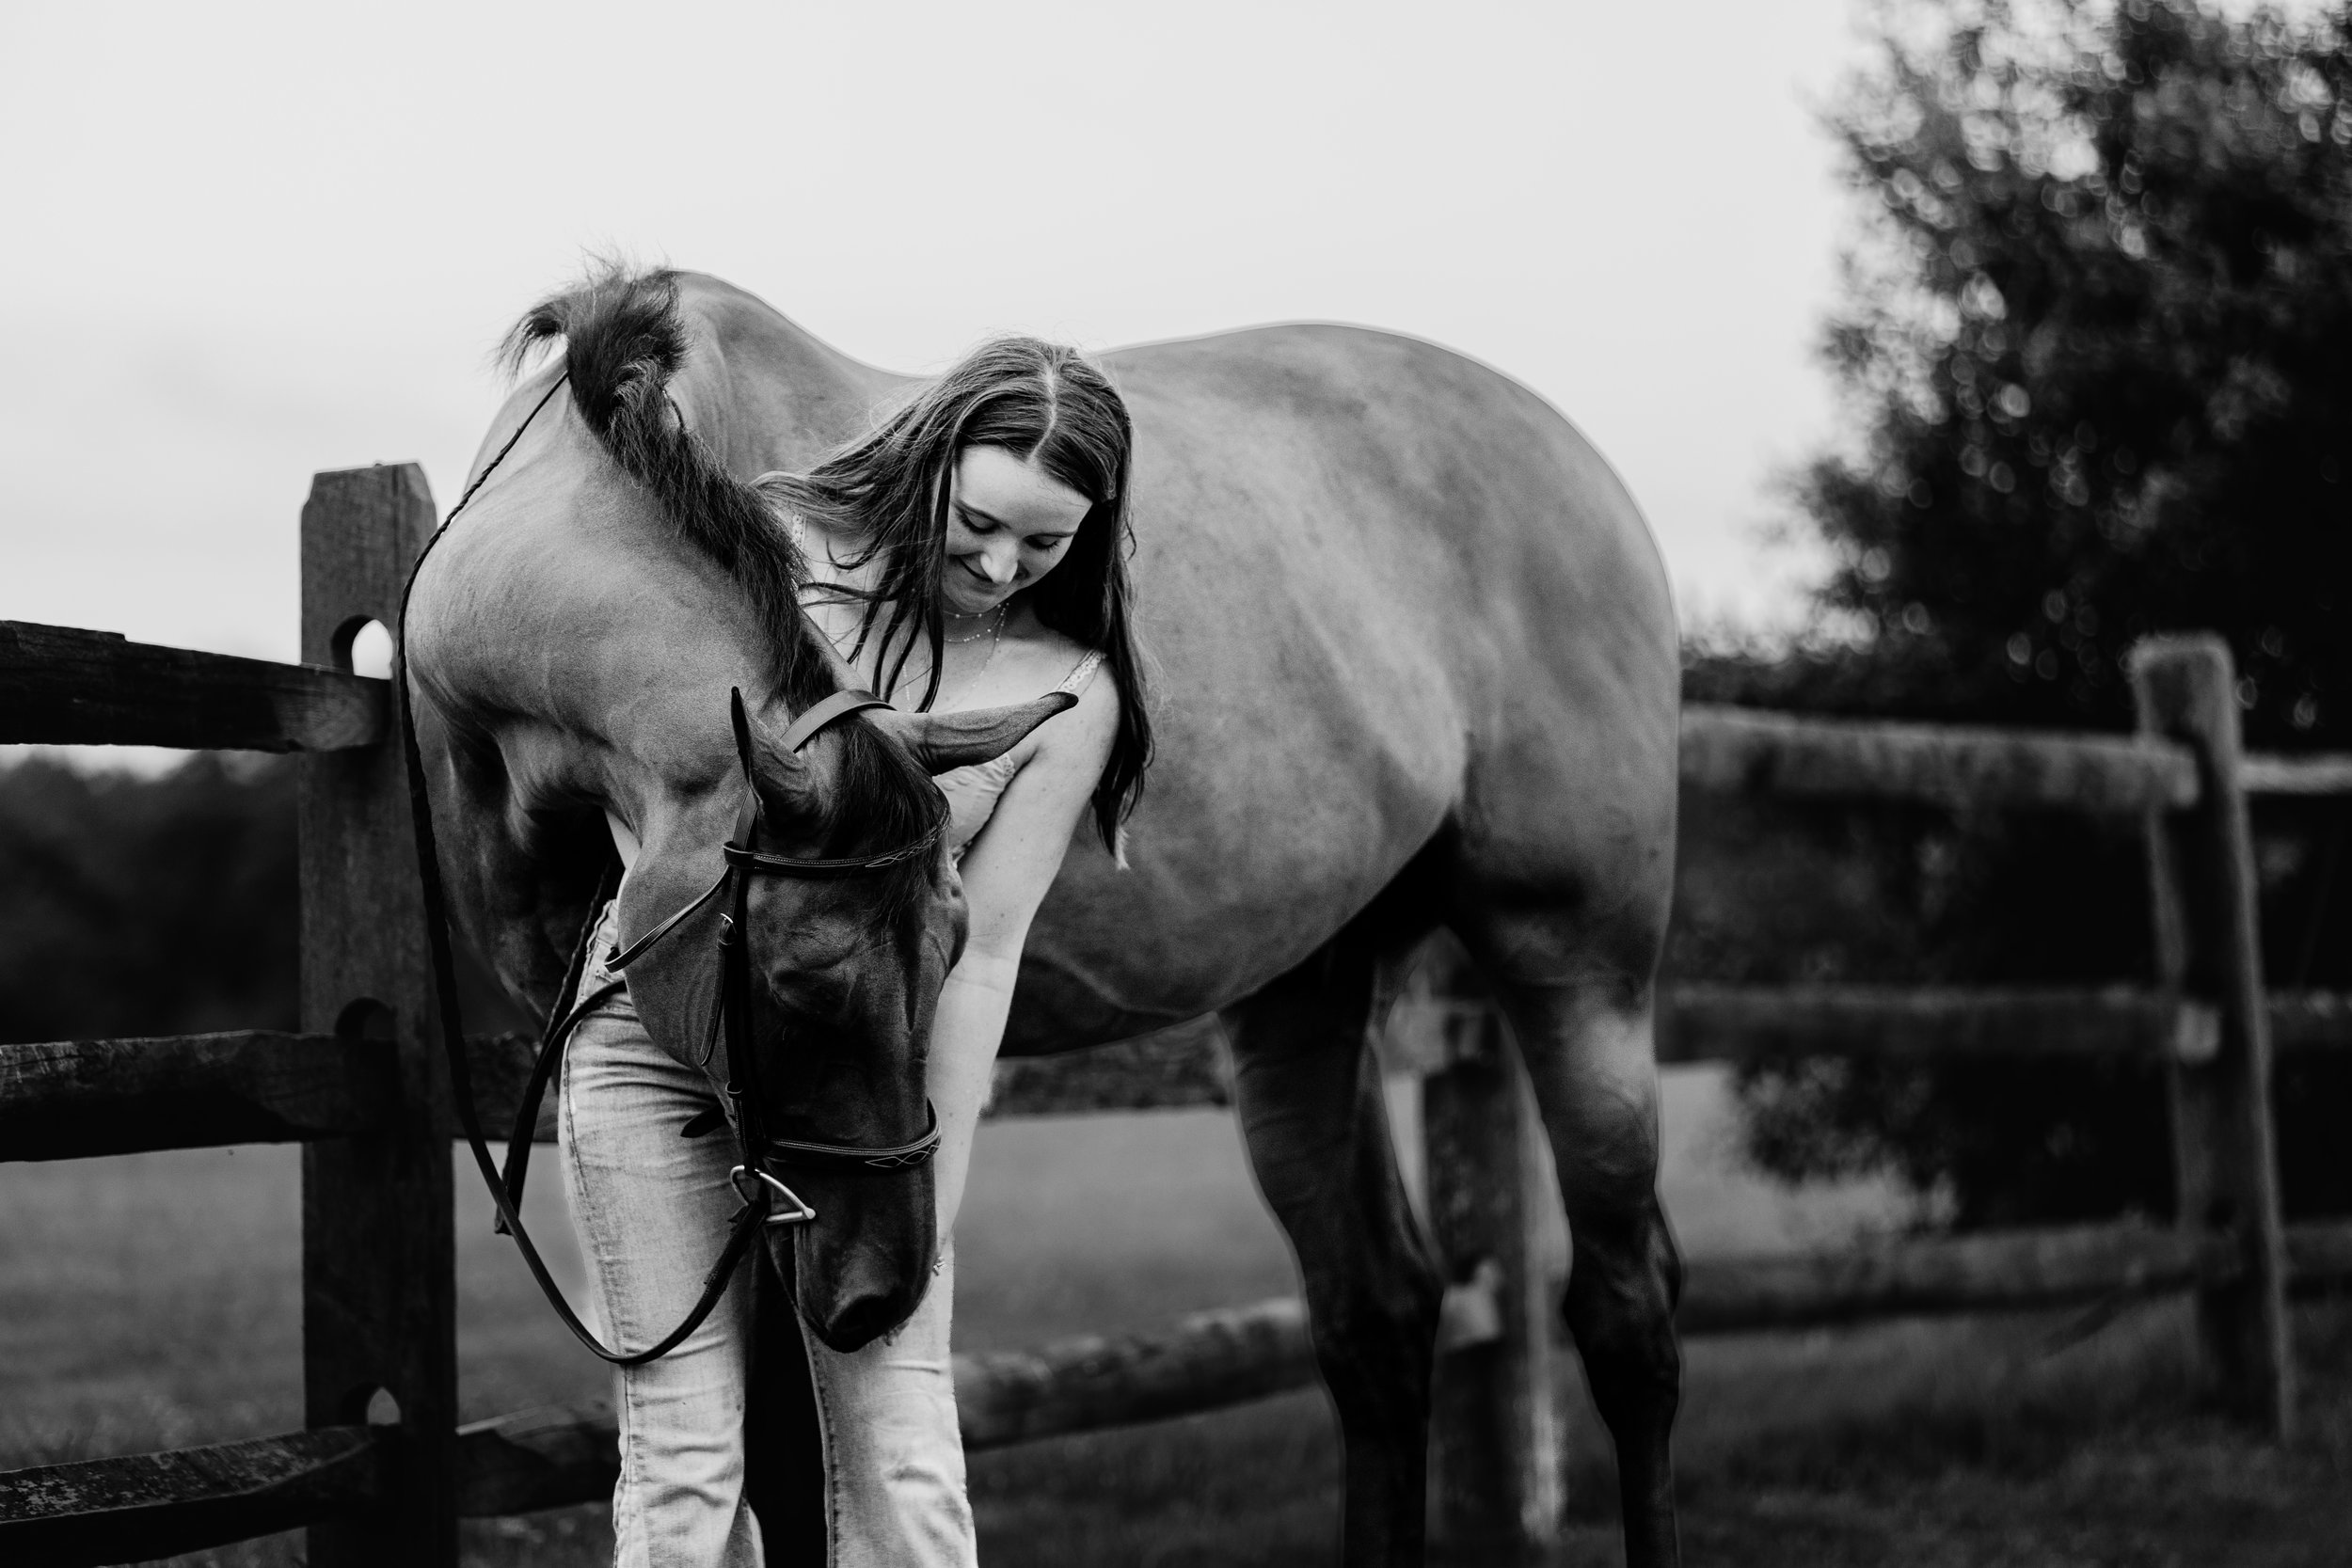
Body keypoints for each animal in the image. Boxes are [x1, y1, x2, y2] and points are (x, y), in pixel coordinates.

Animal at [414, 267, 1683, 1567]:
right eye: (796, 979)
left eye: (954, 951)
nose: (884, 1289)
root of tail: (1574, 457)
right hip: (1307, 991)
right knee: (1377, 1315)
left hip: (1578, 962)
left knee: (1625, 1313)